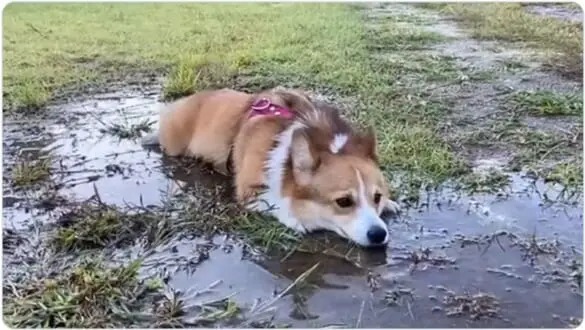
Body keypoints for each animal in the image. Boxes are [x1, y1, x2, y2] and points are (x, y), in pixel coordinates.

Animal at [143, 87, 400, 248]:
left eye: (377, 197)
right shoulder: (250, 191)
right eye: (344, 202)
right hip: (174, 143)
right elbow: (278, 203)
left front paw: (390, 203)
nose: (379, 234)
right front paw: (297, 218)